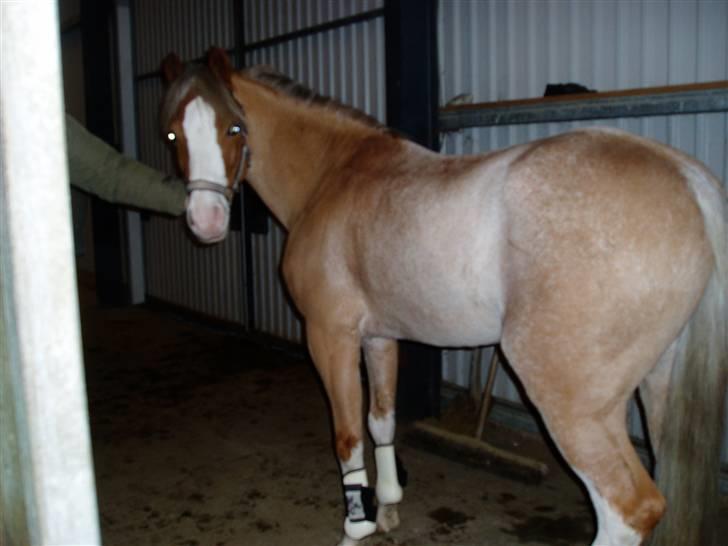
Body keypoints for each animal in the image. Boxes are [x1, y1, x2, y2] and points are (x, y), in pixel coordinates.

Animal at [159, 47, 727, 546]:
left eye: (234, 128)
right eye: (172, 133)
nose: (205, 222)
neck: (335, 175)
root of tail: (688, 179)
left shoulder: (328, 337)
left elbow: (347, 435)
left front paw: (356, 527)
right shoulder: (380, 337)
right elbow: (381, 420)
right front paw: (388, 506)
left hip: (573, 404)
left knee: (629, 508)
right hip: (658, 388)